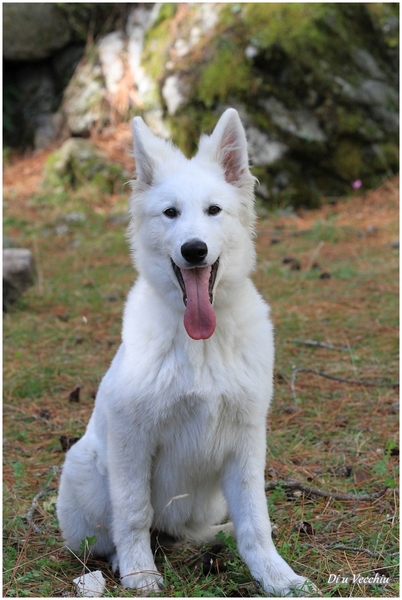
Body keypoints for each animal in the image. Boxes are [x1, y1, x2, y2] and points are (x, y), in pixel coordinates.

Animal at [57, 109, 315, 596]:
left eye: (214, 210)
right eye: (170, 213)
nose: (194, 250)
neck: (201, 347)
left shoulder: (246, 440)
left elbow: (256, 520)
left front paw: (277, 576)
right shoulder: (132, 437)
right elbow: (134, 513)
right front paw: (140, 574)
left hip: (207, 499)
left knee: (194, 529)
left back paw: (217, 536)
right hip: (88, 469)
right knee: (115, 534)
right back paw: (122, 560)